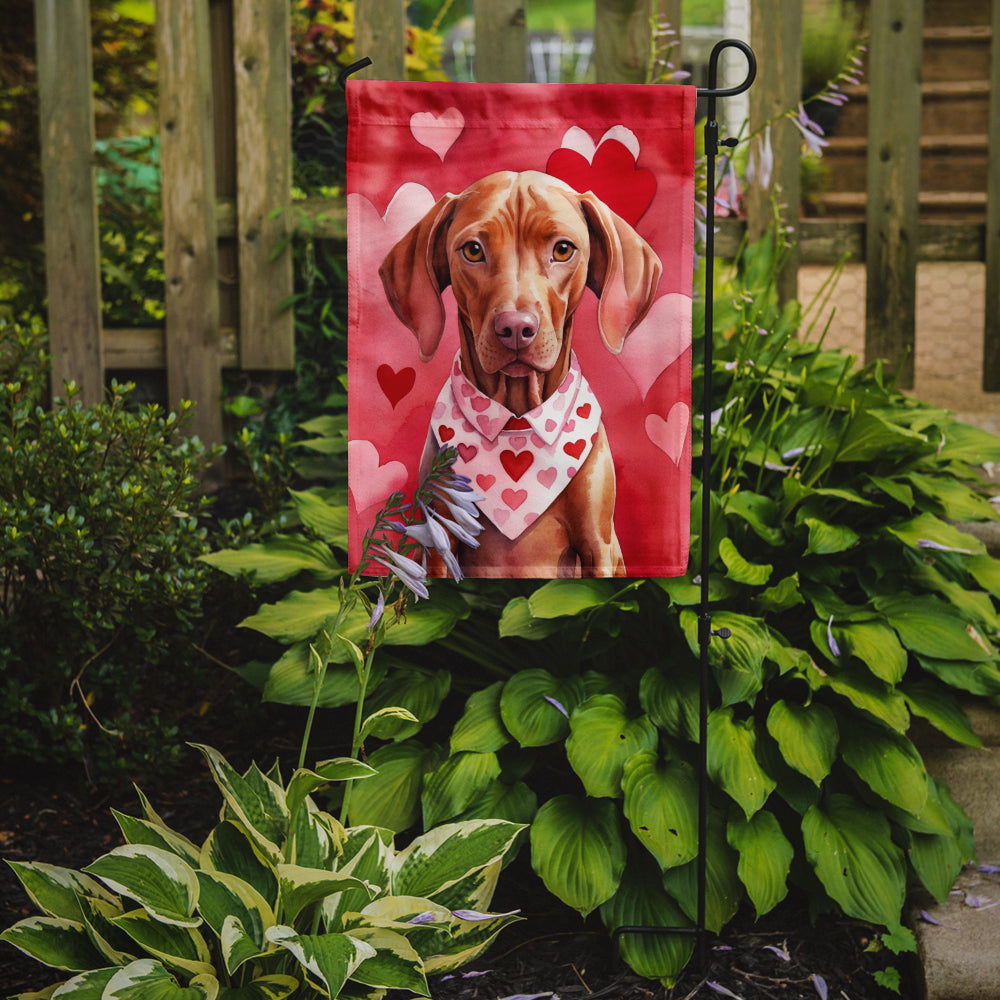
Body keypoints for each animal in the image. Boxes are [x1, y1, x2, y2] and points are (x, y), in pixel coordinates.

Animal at [378, 172, 660, 580]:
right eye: (473, 250)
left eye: (563, 249)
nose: (515, 329)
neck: (515, 420)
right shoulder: (440, 546)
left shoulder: (597, 547)